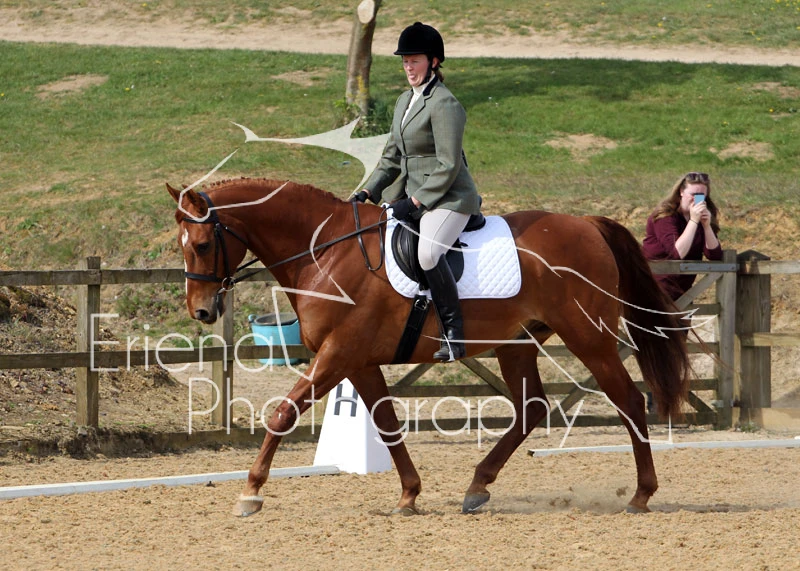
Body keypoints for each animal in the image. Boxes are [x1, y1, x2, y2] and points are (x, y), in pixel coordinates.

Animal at [167, 177, 690, 517]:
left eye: (201, 244)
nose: (202, 312)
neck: (326, 251)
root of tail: (587, 225)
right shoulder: (357, 360)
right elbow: (386, 423)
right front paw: (409, 495)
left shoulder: (338, 354)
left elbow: (282, 413)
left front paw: (251, 492)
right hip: (517, 342)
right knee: (531, 408)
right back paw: (477, 487)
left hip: (589, 336)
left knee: (628, 400)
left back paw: (641, 495)